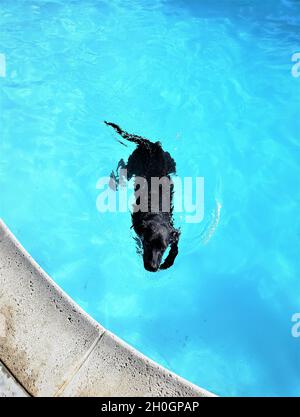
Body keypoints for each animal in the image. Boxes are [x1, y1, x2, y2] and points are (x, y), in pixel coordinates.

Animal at [104, 121, 179, 270]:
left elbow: (176, 247)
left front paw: (168, 262)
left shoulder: (174, 233)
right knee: (122, 167)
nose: (152, 268)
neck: (156, 214)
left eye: (163, 248)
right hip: (133, 165)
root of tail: (150, 145)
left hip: (171, 164)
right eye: (148, 243)